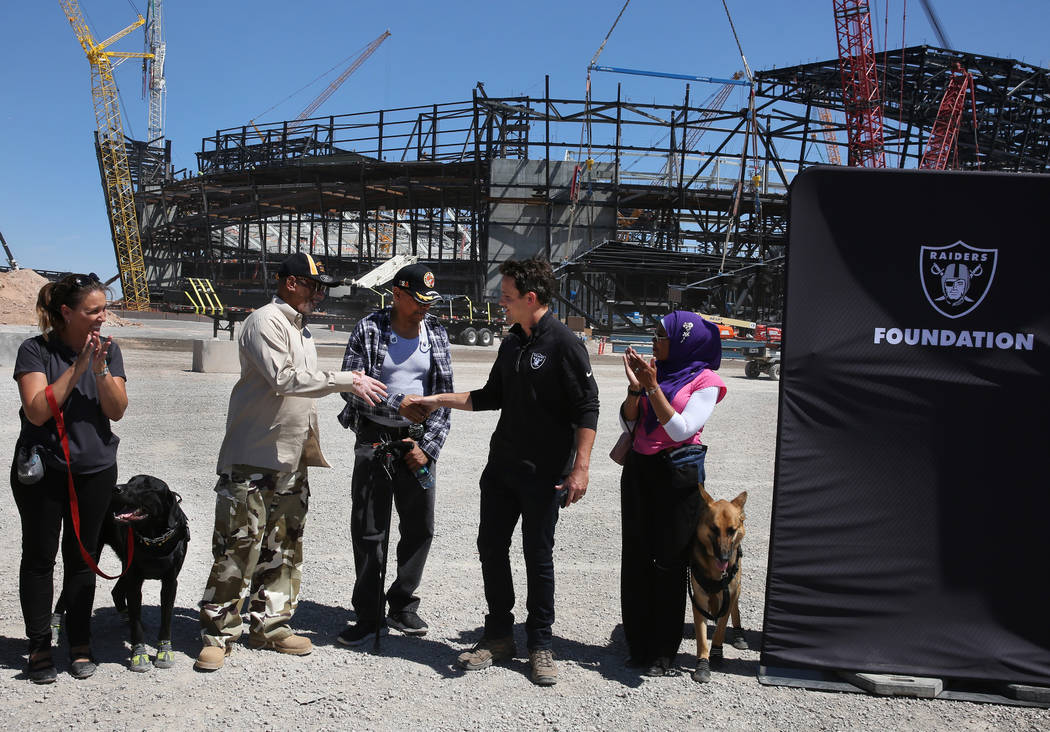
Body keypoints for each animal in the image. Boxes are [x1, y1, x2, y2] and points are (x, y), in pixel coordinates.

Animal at [688, 487, 747, 680]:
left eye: (732, 530)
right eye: (713, 528)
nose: (724, 558)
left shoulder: (730, 592)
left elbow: (721, 628)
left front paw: (715, 652)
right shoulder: (699, 597)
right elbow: (702, 636)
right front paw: (703, 663)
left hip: (736, 588)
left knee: (735, 609)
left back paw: (738, 634)